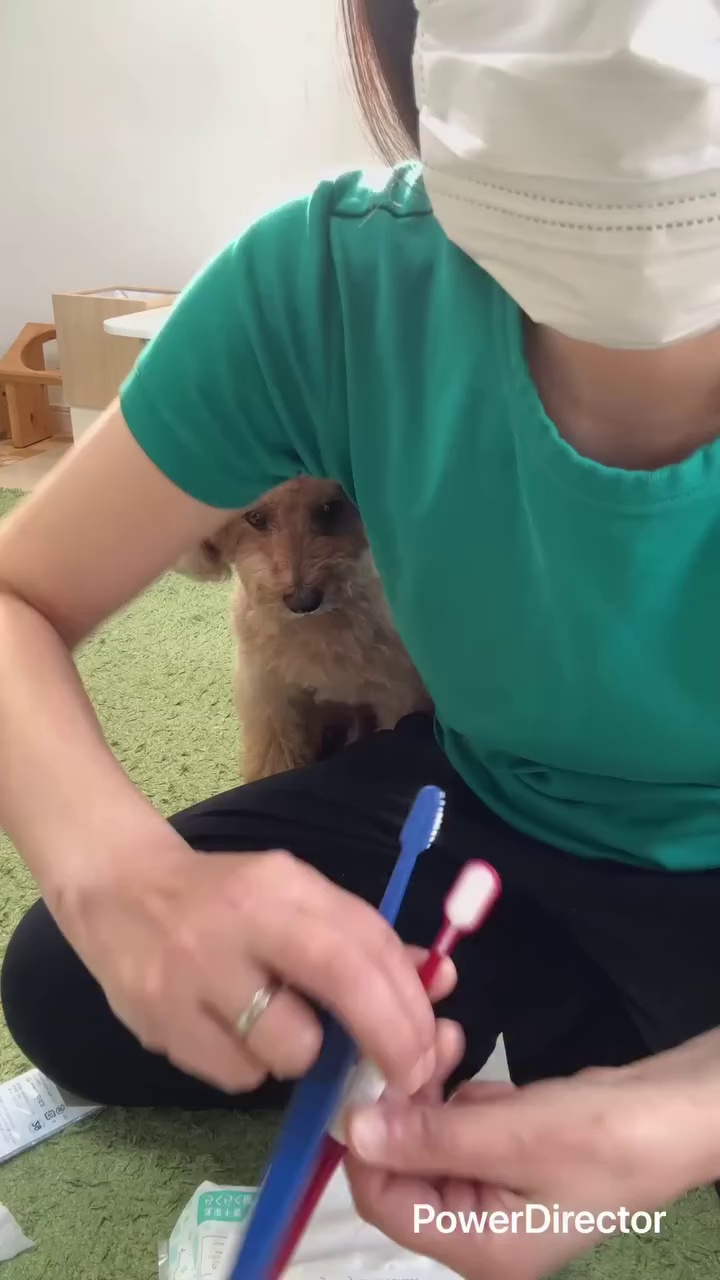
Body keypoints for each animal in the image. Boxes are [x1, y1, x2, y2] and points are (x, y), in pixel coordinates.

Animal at [177, 477, 430, 782]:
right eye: (255, 517)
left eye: (330, 508)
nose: (303, 601)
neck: (316, 629)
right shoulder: (271, 699)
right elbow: (272, 760)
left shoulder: (399, 692)